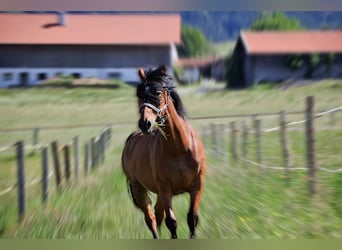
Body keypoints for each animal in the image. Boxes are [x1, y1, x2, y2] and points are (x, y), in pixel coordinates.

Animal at [121, 64, 206, 238]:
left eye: (158, 93)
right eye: (139, 95)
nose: (145, 124)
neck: (179, 149)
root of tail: (131, 139)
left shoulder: (197, 185)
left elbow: (192, 218)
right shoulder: (165, 189)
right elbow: (171, 222)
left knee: (157, 214)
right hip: (140, 189)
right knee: (151, 219)